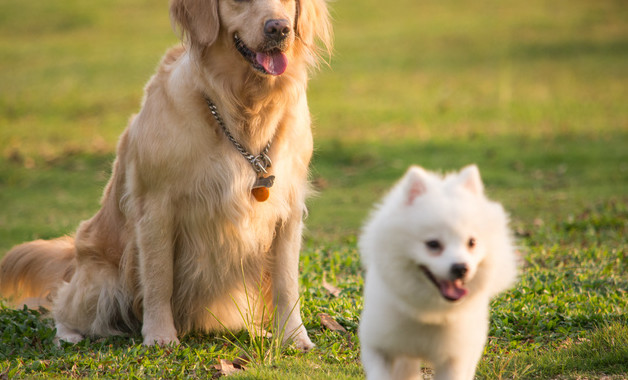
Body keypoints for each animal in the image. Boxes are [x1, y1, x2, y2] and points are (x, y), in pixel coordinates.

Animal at [356, 165, 516, 380]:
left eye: (472, 242)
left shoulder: (455, 358)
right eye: (433, 244)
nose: (461, 268)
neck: (429, 312)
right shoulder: (379, 345)